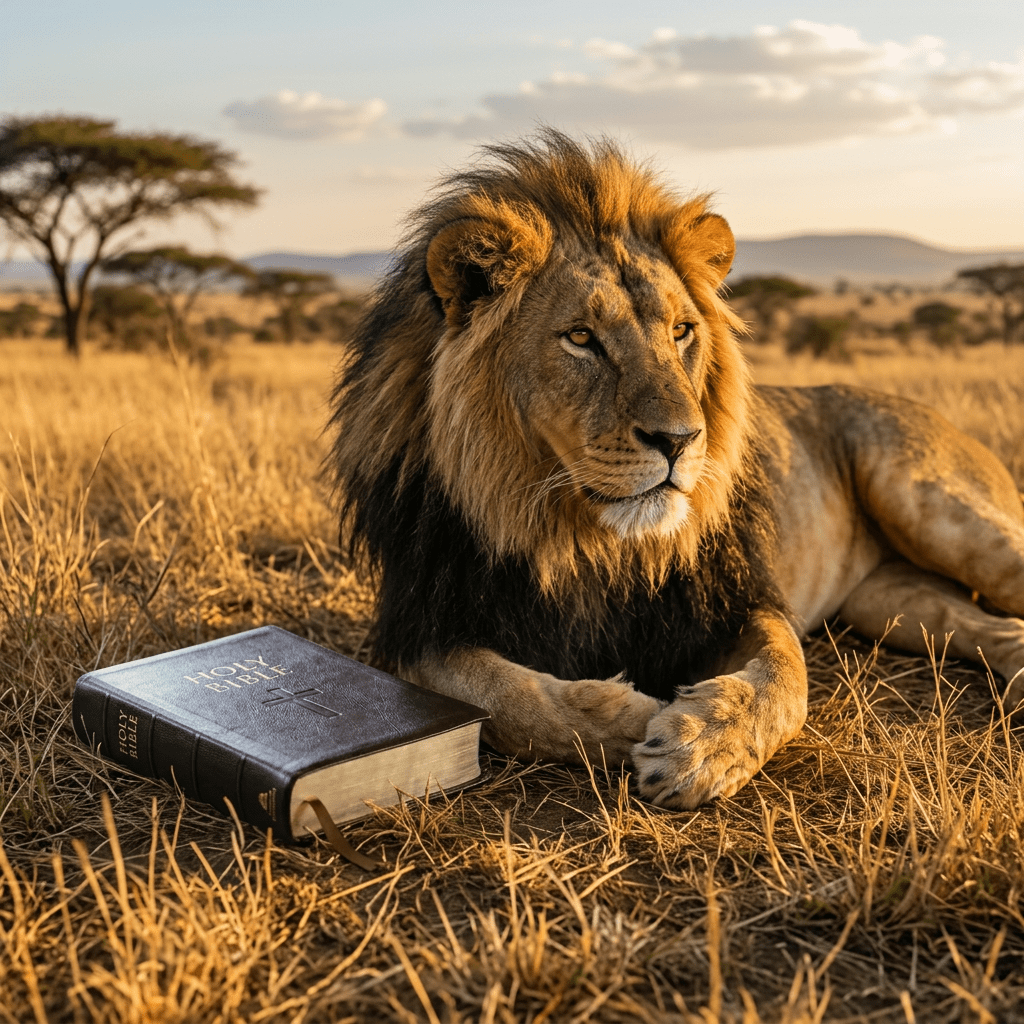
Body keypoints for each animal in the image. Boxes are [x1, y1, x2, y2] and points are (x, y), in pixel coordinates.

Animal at [328, 130, 1024, 809]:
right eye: (580, 338)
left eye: (682, 330)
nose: (681, 440)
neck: (586, 541)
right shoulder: (419, 627)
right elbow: (506, 698)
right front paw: (633, 717)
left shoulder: (735, 599)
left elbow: (784, 677)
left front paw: (703, 743)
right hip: (886, 599)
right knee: (990, 627)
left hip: (932, 502)